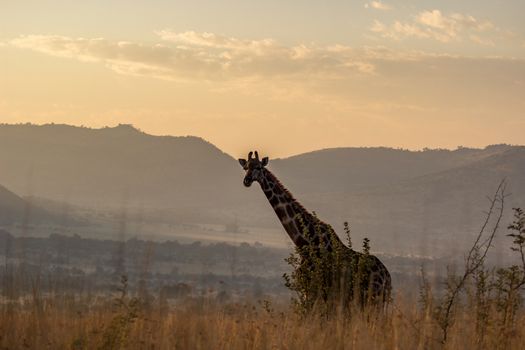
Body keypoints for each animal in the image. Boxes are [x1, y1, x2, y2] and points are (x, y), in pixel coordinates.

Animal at [237, 152, 388, 304]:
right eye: (245, 167)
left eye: (259, 167)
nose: (247, 180)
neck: (303, 241)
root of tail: (388, 278)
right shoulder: (308, 290)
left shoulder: (315, 290)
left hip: (373, 298)